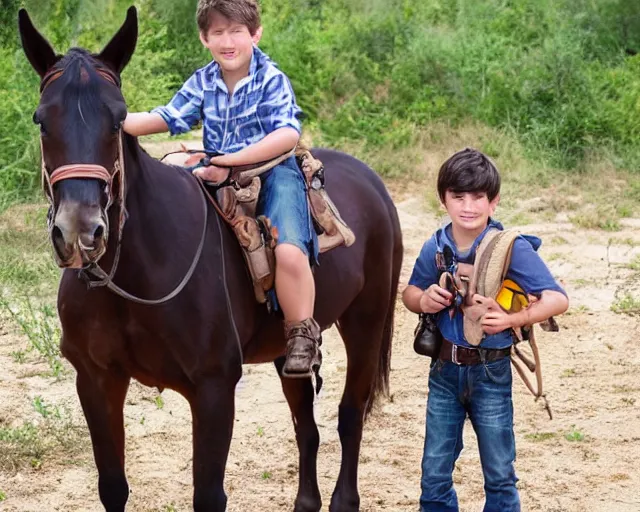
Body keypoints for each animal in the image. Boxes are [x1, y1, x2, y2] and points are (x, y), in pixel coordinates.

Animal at [18, 7, 400, 512]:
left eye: (117, 120)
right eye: (42, 120)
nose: (80, 231)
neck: (136, 274)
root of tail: (372, 182)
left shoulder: (214, 387)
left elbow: (208, 494)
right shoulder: (96, 380)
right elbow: (113, 487)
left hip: (365, 324)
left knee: (350, 416)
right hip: (289, 352)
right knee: (308, 428)